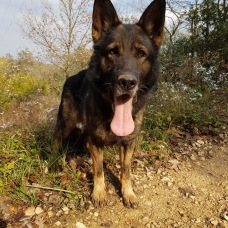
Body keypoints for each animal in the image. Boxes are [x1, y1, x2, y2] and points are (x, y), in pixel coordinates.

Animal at [54, 0, 167, 208]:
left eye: (141, 53)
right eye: (112, 51)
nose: (127, 83)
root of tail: (71, 77)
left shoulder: (128, 144)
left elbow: (126, 170)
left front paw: (128, 193)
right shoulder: (96, 143)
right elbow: (98, 169)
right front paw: (99, 193)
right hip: (66, 124)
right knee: (56, 140)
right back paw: (52, 161)